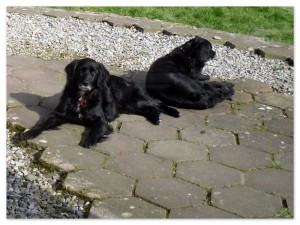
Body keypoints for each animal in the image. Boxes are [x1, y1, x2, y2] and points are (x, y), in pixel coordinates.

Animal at [12, 58, 179, 148]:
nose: (85, 83)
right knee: (149, 109)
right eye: (82, 70)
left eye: (94, 73)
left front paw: (90, 140)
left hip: (135, 100)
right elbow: (41, 124)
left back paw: (174, 112)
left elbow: (96, 130)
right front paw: (28, 133)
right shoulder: (57, 114)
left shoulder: (102, 120)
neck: (82, 97)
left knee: (157, 102)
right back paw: (156, 118)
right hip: (130, 107)